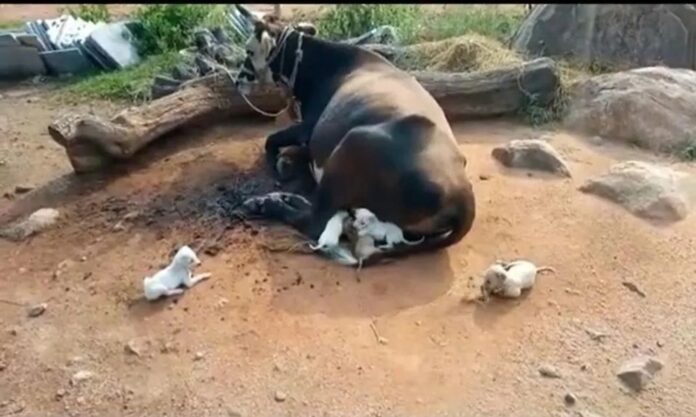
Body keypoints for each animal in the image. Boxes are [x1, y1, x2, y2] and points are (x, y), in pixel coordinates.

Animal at [231, 5, 476, 266]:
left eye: (249, 49)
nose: (237, 81)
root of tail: (463, 196)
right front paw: (286, 161)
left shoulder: (309, 127)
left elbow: (271, 140)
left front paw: (278, 164)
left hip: (352, 143)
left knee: (315, 219)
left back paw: (265, 202)